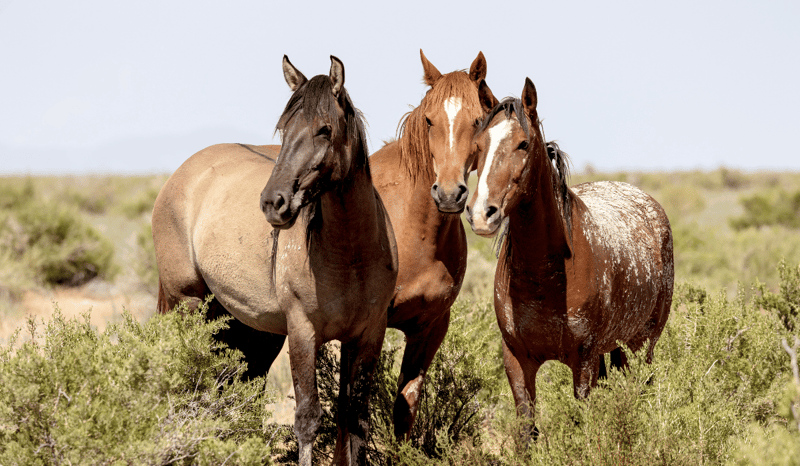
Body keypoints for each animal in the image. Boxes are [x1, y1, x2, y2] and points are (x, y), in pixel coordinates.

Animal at [152, 56, 398, 466]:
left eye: (324, 130)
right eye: (284, 129)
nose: (273, 202)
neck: (351, 256)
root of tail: (181, 175)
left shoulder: (368, 335)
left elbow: (355, 421)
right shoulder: (302, 330)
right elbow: (308, 418)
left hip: (246, 326)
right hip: (187, 304)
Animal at [465, 78, 674, 440]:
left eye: (523, 144)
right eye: (478, 144)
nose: (481, 215)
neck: (544, 277)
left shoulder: (583, 360)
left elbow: (580, 425)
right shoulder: (517, 360)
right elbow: (526, 431)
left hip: (642, 345)